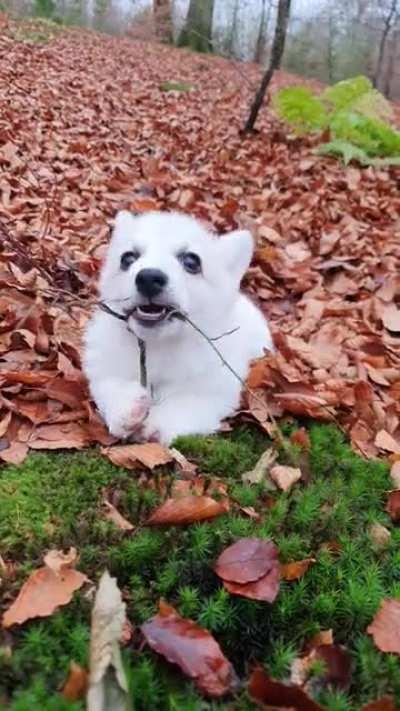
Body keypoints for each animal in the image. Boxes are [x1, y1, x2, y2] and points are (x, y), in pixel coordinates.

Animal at [83, 211, 272, 444]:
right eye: (128, 258)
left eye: (192, 261)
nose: (148, 278)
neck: (160, 346)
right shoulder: (103, 369)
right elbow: (111, 386)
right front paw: (129, 409)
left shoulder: (214, 391)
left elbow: (184, 406)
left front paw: (154, 425)